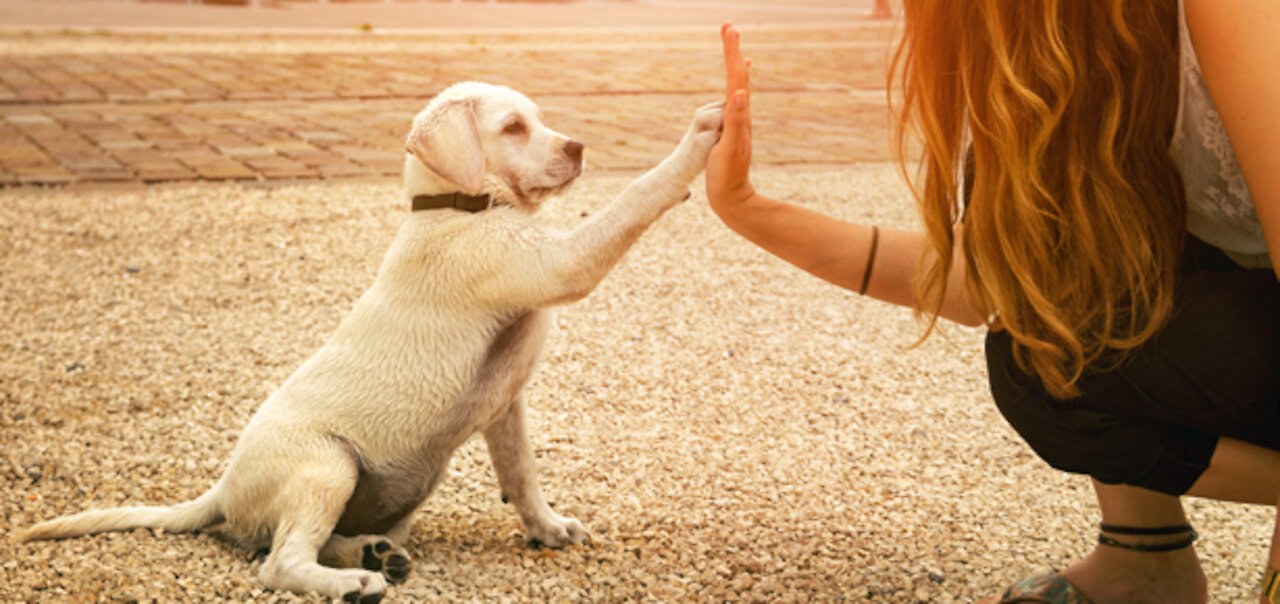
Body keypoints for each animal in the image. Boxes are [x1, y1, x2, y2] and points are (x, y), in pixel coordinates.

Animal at [22, 81, 721, 604]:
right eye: (513, 128)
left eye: (540, 121)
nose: (578, 147)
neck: (458, 206)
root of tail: (222, 489)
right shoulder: (559, 264)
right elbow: (634, 196)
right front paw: (699, 140)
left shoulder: (507, 405)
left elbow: (521, 473)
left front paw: (547, 528)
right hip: (328, 464)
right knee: (278, 563)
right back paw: (355, 580)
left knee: (305, 541)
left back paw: (376, 553)